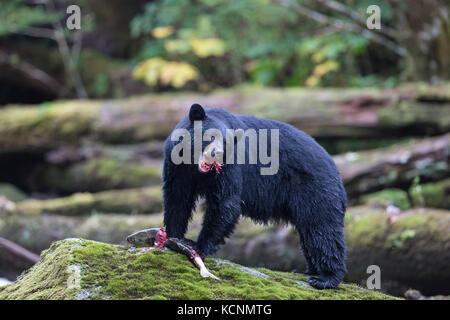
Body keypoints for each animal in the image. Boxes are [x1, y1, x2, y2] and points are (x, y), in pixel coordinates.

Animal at [163, 104, 348, 288]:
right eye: (210, 136)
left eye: (226, 143)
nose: (218, 153)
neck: (196, 169)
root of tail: (335, 169)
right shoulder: (177, 166)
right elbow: (177, 199)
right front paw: (173, 237)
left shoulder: (231, 167)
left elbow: (225, 203)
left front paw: (197, 245)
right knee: (309, 233)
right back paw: (307, 271)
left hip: (313, 188)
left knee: (321, 228)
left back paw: (325, 278)